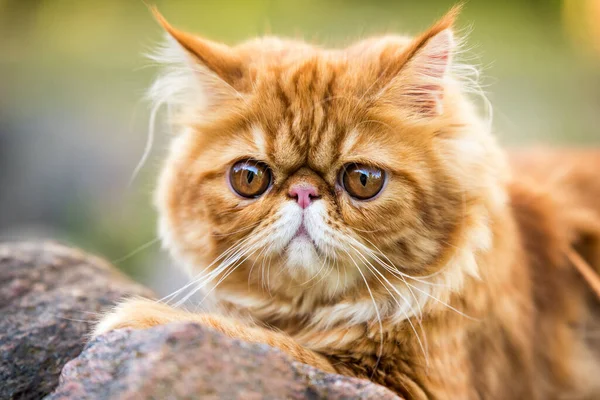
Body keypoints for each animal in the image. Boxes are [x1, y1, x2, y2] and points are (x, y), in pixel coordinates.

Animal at [94, 6, 600, 400]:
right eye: (249, 178)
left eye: (362, 180)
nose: (303, 192)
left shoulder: (415, 383)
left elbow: (274, 345)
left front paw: (138, 317)